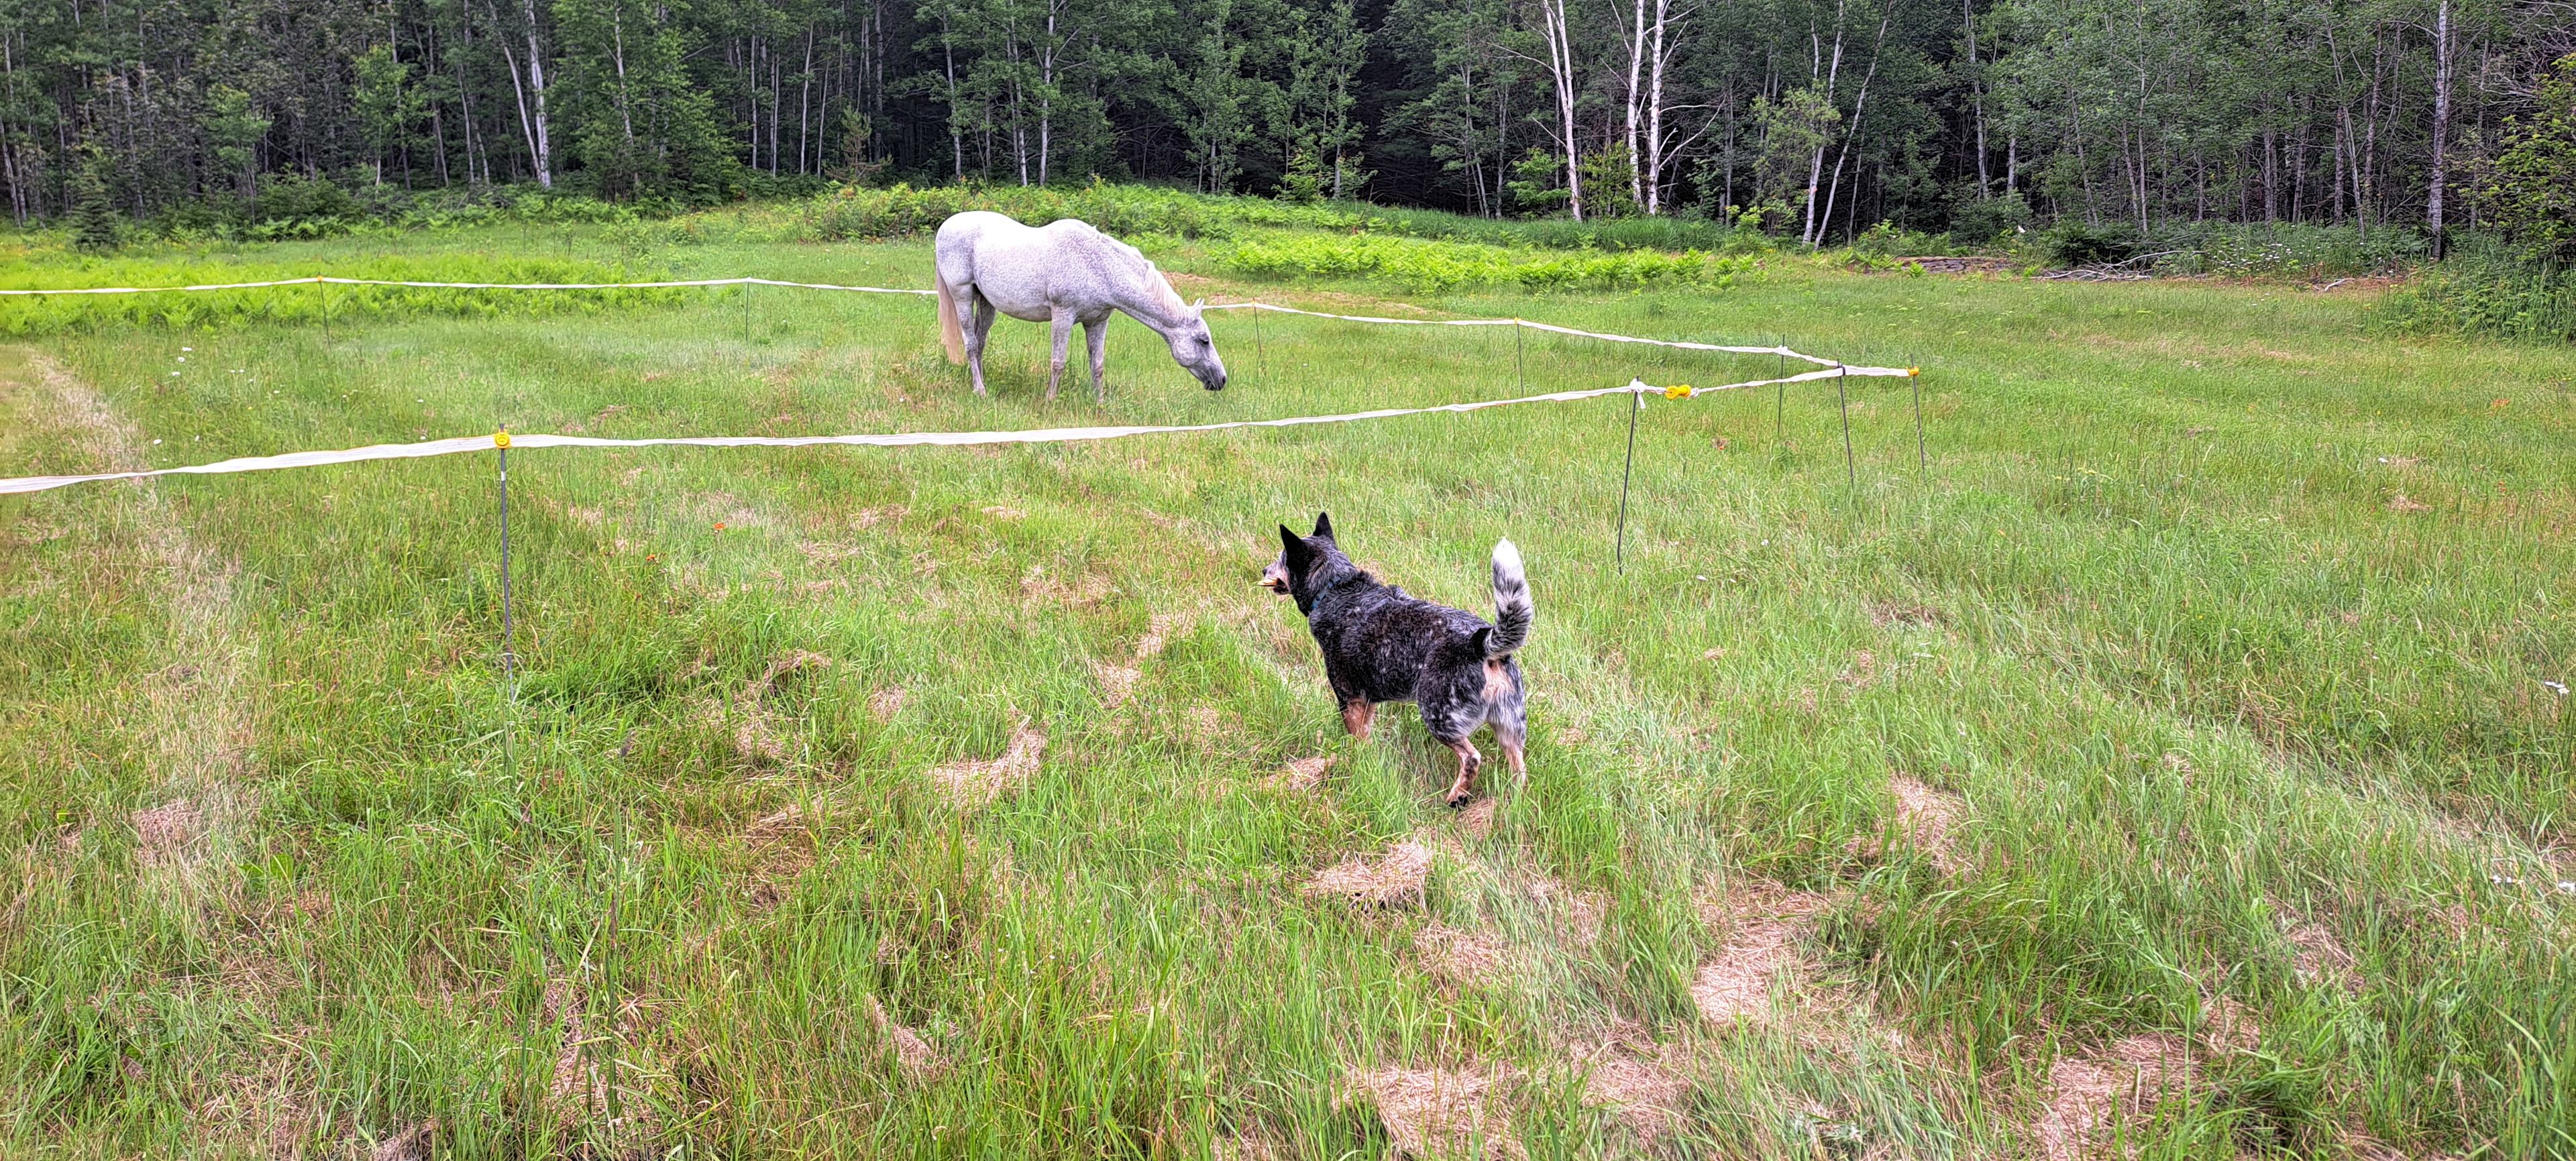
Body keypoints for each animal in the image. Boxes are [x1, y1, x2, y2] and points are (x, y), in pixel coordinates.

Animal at [934, 210, 1228, 400]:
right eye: (1204, 340)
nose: (1222, 380)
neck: (1097, 267)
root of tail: (946, 226)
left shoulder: (1097, 322)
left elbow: (1097, 365)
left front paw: (1100, 403)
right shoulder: (1063, 315)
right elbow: (1058, 362)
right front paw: (1050, 401)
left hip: (986, 303)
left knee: (981, 342)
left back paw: (982, 382)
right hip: (962, 296)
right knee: (971, 344)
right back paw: (980, 390)